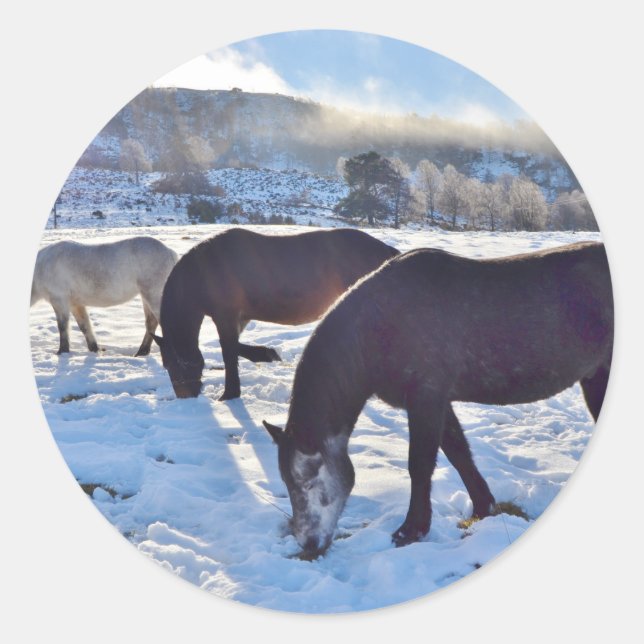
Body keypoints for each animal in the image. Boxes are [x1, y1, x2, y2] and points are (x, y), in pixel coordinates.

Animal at [31, 236, 178, 356]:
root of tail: (171, 252)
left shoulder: (59, 300)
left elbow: (62, 327)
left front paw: (62, 351)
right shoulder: (74, 303)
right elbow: (84, 325)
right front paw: (94, 349)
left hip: (153, 295)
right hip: (146, 296)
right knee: (151, 322)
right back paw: (141, 352)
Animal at [153, 227, 399, 400]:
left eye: (175, 364)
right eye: (166, 365)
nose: (186, 397)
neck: (205, 270)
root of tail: (387, 252)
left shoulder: (225, 316)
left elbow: (228, 351)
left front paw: (230, 393)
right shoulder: (240, 317)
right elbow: (236, 347)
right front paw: (267, 354)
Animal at [263, 241, 613, 558]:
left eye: (306, 480)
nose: (308, 544)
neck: (379, 326)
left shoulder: (426, 397)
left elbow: (419, 464)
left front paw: (412, 530)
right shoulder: (438, 401)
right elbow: (459, 453)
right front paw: (484, 508)